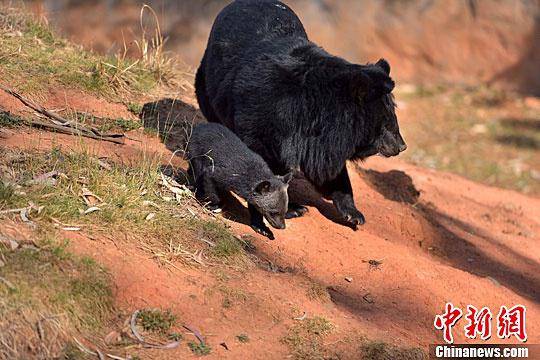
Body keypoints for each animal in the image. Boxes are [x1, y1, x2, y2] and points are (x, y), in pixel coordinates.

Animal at [194, 0, 404, 228]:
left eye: (392, 120)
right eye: (386, 124)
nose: (401, 146)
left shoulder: (322, 142)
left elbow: (327, 169)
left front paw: (353, 214)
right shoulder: (263, 114)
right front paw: (293, 209)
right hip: (209, 83)